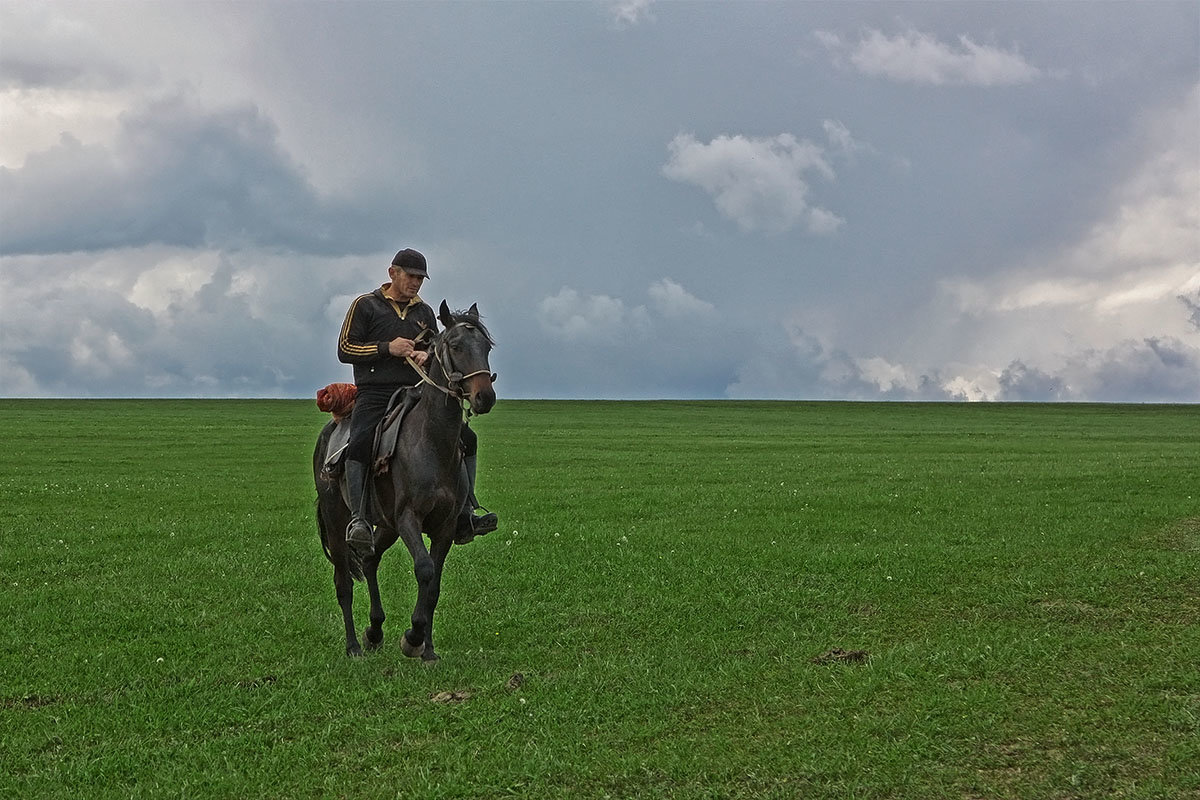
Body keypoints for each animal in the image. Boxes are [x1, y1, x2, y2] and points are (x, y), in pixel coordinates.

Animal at [314, 303, 496, 662]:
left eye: (486, 347)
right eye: (456, 346)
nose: (485, 397)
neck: (432, 443)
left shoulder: (445, 526)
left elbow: (434, 584)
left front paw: (428, 649)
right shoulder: (409, 518)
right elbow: (424, 569)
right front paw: (413, 637)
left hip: (385, 525)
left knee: (369, 560)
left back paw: (374, 630)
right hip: (340, 523)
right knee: (343, 584)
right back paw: (354, 645)